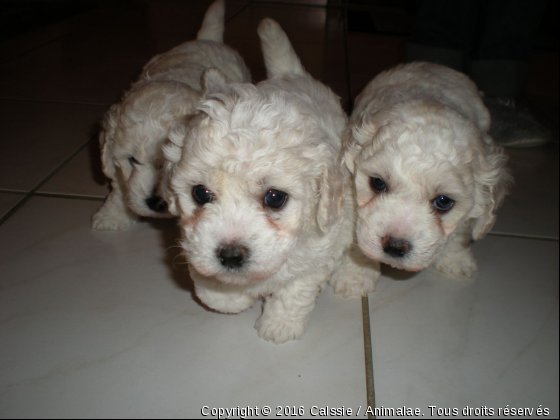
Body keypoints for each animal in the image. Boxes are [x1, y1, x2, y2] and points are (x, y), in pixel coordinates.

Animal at [162, 18, 378, 344]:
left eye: (275, 198)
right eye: (200, 193)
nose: (230, 256)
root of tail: (291, 74)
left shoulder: (319, 249)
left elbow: (295, 290)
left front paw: (279, 326)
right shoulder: (195, 241)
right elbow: (212, 289)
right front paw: (231, 298)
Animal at [342, 62, 512, 278]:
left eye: (443, 201)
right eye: (378, 183)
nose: (395, 246)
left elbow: (461, 230)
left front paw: (457, 261)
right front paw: (355, 276)